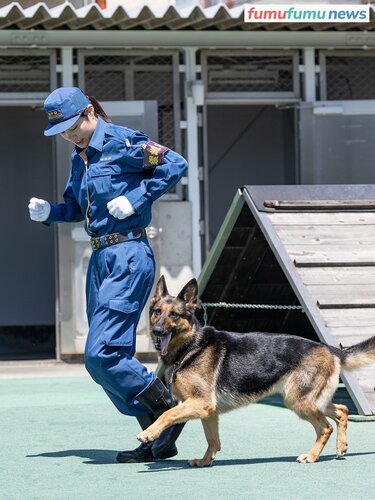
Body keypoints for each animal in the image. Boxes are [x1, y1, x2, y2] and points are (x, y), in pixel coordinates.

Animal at [137, 276, 375, 466]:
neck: (190, 347)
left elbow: (168, 413)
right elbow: (212, 439)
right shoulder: (208, 410)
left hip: (299, 401)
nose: (157, 331)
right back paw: (341, 447)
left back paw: (311, 456)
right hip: (311, 400)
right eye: (157, 312)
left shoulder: (201, 403)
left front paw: (149, 433)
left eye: (174, 315)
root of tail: (328, 348)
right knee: (342, 410)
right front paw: (205, 461)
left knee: (325, 427)